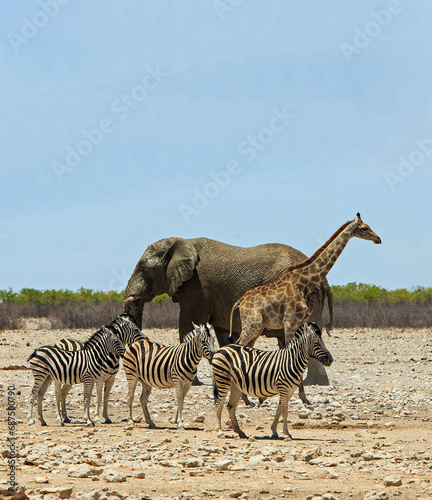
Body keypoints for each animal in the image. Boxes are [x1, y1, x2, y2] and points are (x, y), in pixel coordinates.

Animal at [123, 238, 336, 402]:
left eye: (143, 268)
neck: (181, 241)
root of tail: (325, 282)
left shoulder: (197, 287)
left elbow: (188, 324)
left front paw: (193, 382)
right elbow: (222, 333)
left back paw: (312, 383)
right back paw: (315, 383)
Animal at [204, 324, 332, 438]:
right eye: (317, 343)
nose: (331, 359)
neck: (291, 361)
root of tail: (221, 349)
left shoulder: (289, 391)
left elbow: (279, 410)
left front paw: (274, 431)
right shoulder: (283, 388)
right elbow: (284, 411)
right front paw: (286, 433)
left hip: (235, 385)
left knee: (230, 406)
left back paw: (240, 432)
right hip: (223, 380)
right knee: (219, 404)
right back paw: (220, 431)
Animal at [233, 214, 382, 348]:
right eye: (364, 228)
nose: (378, 239)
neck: (304, 283)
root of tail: (239, 302)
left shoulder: (300, 321)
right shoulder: (290, 321)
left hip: (257, 326)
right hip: (252, 324)